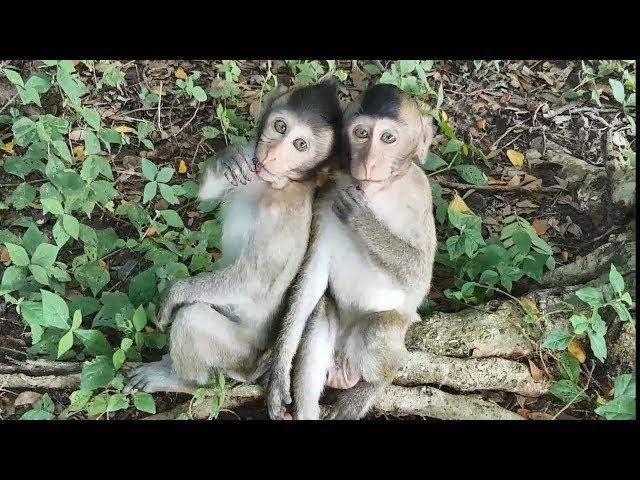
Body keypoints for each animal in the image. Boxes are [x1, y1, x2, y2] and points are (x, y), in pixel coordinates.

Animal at [126, 79, 344, 394]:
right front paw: (228, 158)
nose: (274, 153)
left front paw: (174, 294)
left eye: (300, 145)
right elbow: (206, 194)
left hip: (239, 355)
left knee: (192, 318)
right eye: (281, 127)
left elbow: (253, 280)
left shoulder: (283, 209)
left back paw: (181, 379)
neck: (275, 184)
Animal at [268, 85, 438, 420]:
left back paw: (369, 388)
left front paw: (362, 218)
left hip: (385, 336)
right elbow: (313, 275)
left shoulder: (421, 193)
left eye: (388, 138)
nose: (368, 161)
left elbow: (419, 278)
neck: (377, 191)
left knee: (378, 330)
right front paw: (279, 369)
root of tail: (345, 364)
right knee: (319, 311)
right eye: (361, 133)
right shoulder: (326, 194)